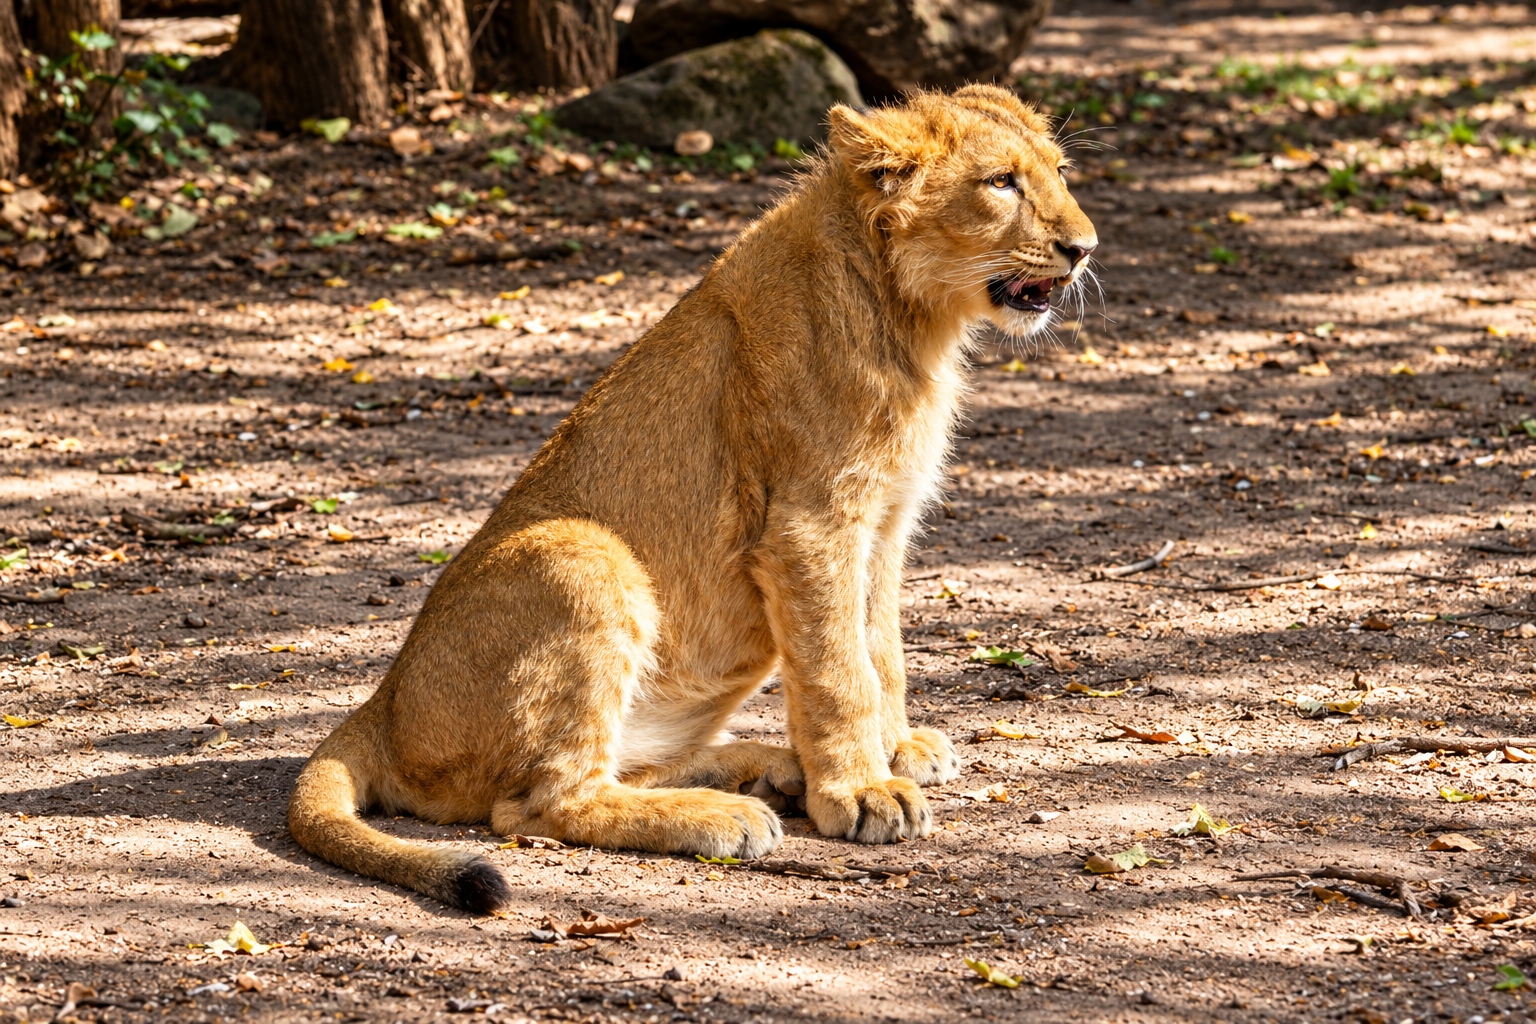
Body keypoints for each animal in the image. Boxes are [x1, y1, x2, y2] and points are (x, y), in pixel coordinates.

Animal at [287, 84, 1098, 913]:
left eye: (1059, 171)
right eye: (1000, 183)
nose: (1085, 248)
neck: (911, 314)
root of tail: (382, 705)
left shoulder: (885, 523)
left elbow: (881, 649)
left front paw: (895, 750)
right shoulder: (810, 525)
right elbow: (838, 668)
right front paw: (863, 791)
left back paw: (767, 768)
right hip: (581, 553)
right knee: (540, 805)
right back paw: (725, 813)